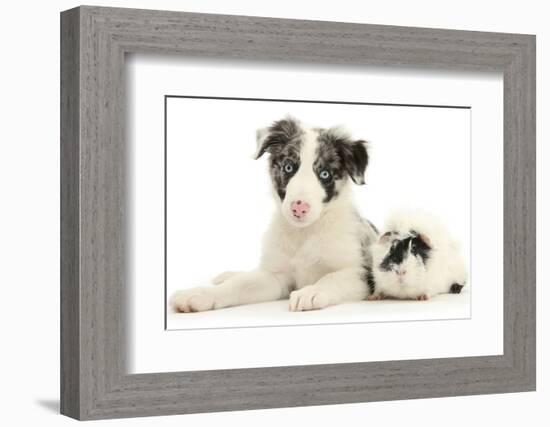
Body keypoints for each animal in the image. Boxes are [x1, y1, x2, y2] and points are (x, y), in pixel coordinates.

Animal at [172, 115, 380, 312]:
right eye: (288, 167)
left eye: (325, 174)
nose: (299, 207)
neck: (304, 233)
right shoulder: (276, 277)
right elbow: (239, 285)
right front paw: (200, 294)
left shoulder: (361, 273)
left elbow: (332, 278)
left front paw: (310, 292)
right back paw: (227, 275)